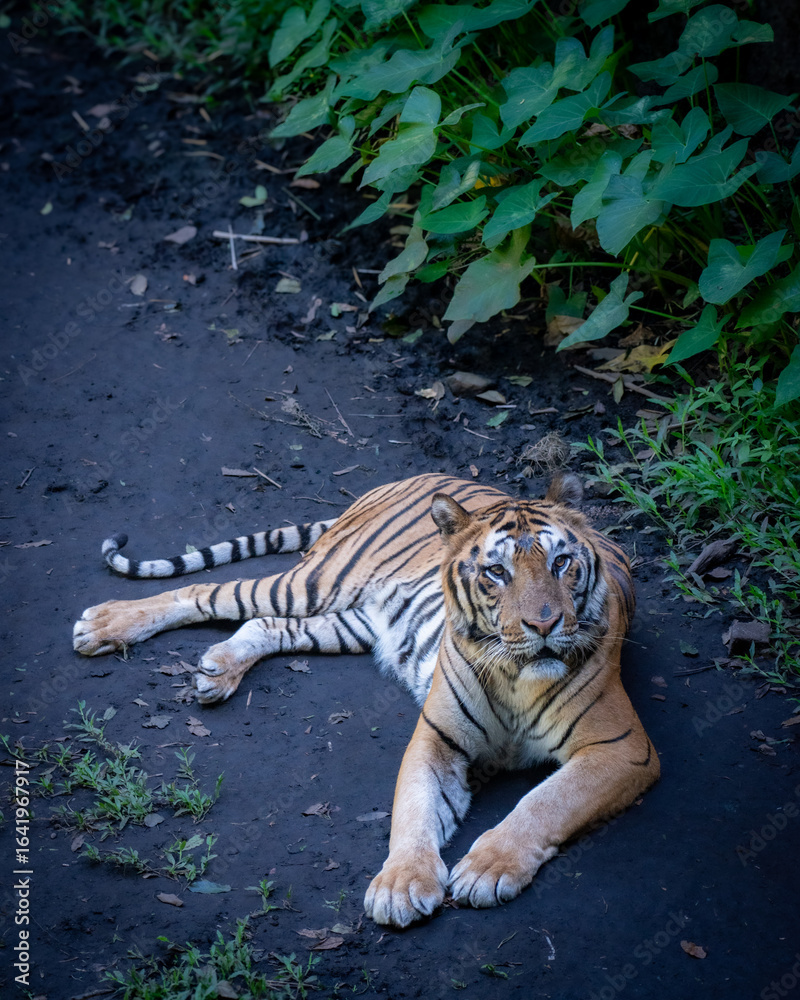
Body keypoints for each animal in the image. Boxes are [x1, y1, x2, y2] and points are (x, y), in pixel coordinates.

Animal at [73, 472, 659, 927]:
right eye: (497, 572)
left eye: (561, 563)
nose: (544, 625)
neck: (516, 675)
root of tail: (401, 479)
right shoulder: (436, 740)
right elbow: (414, 812)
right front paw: (400, 885)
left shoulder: (622, 748)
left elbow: (545, 803)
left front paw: (486, 868)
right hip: (314, 583)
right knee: (206, 593)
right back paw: (103, 625)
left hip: (353, 620)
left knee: (264, 622)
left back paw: (218, 669)